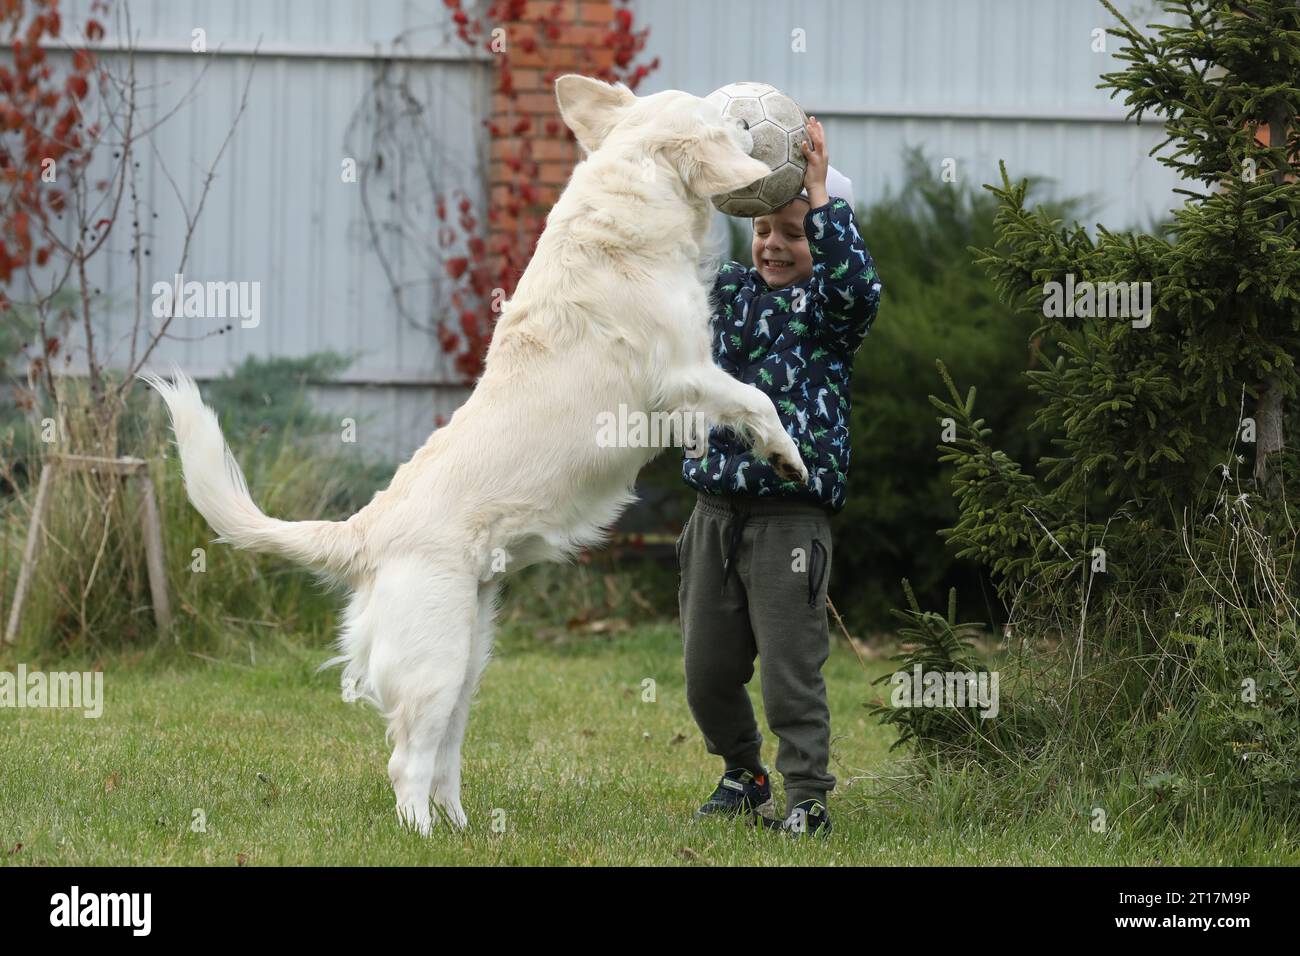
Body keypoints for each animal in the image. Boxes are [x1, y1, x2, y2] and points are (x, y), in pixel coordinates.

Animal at [147, 74, 806, 832]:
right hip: (436, 662)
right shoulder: (683, 376)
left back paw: (464, 831)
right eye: (729, 121)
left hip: (470, 657)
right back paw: (423, 835)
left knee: (440, 763)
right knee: (406, 764)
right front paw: (789, 456)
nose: (762, 124)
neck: (627, 204)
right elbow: (756, 401)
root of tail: (365, 529)